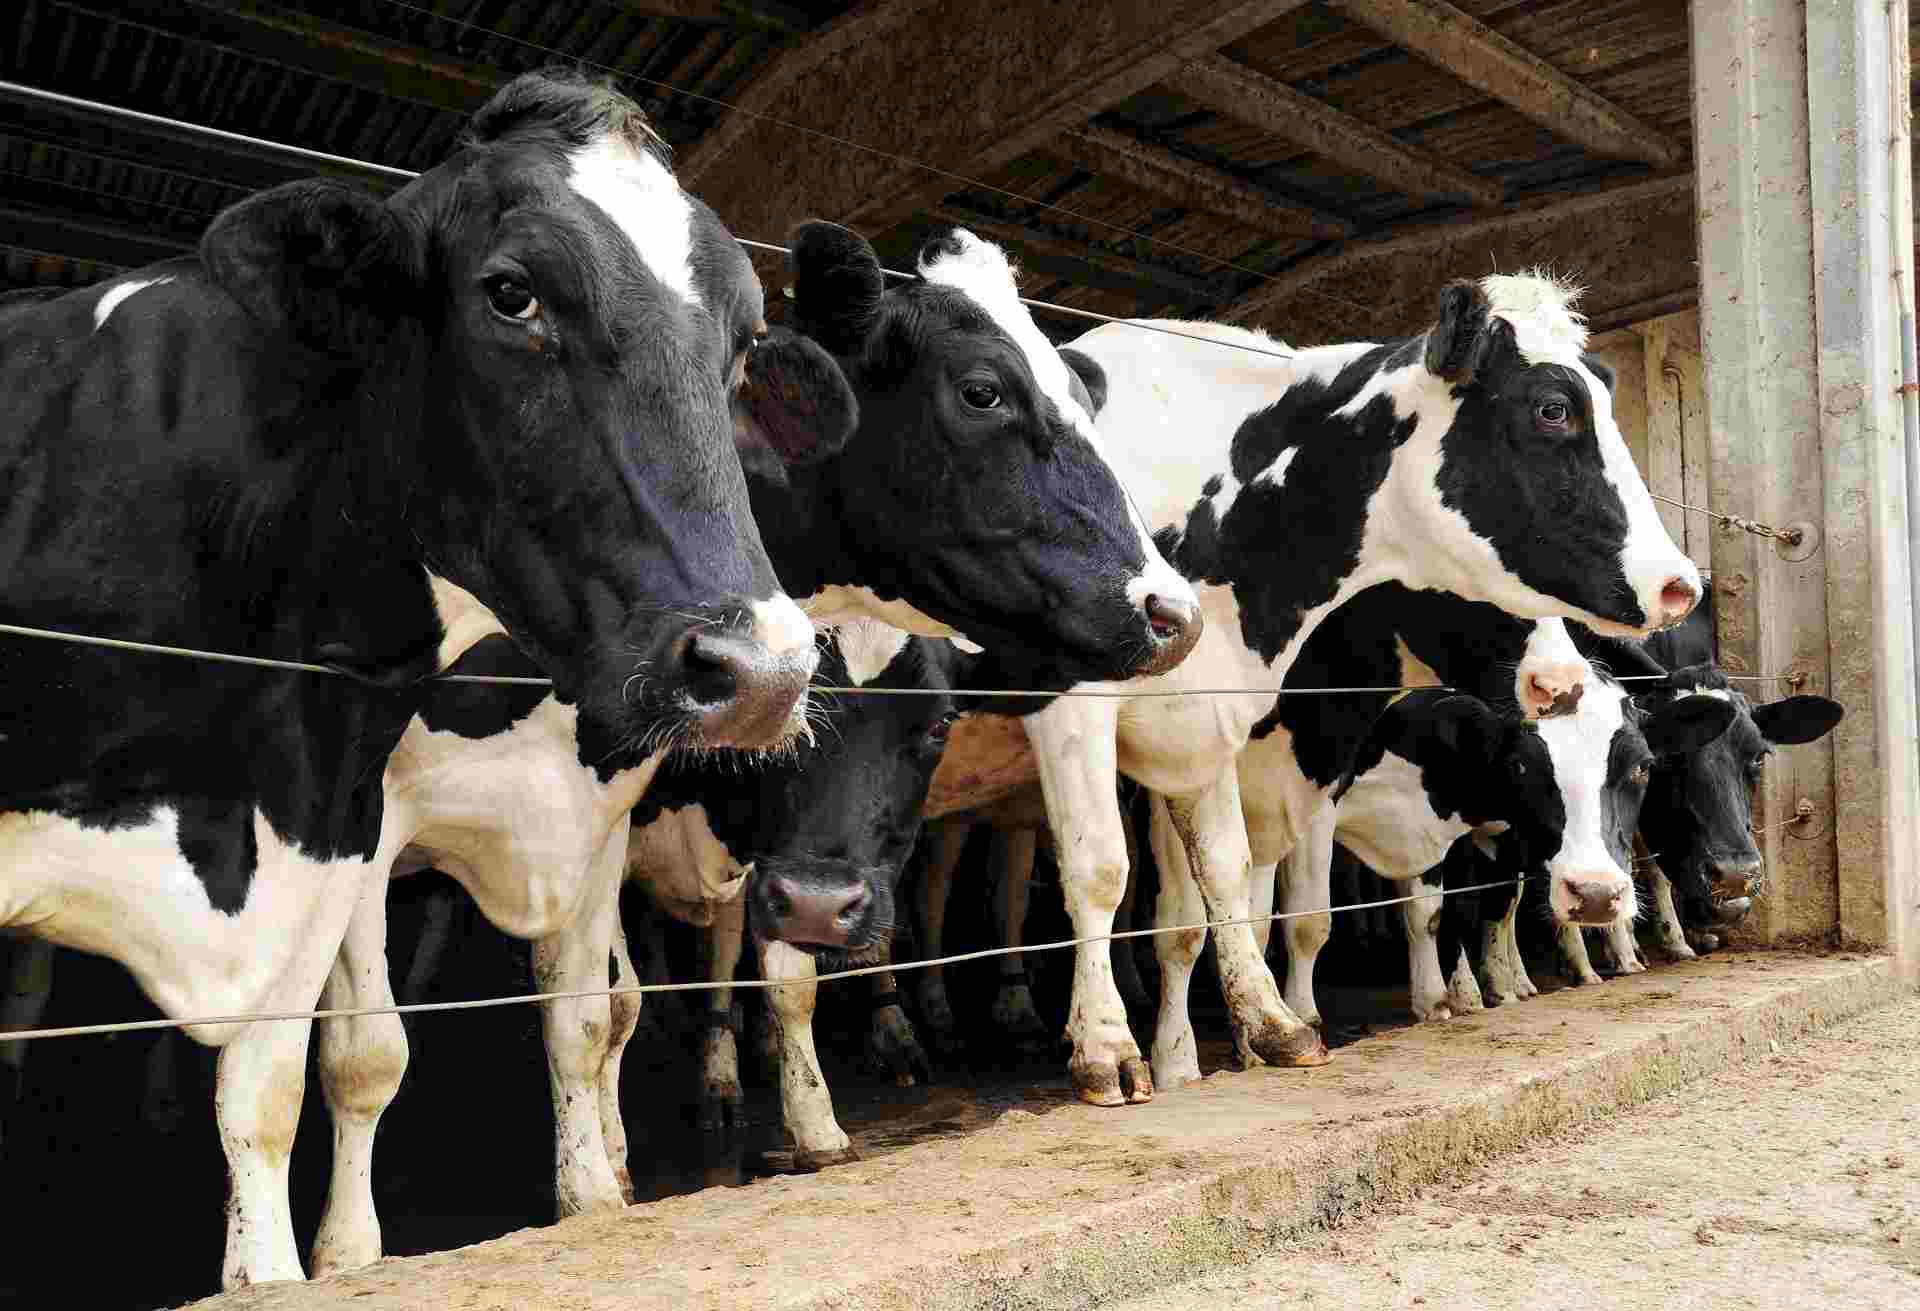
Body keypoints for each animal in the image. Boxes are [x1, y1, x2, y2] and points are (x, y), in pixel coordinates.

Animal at [0, 69, 869, 1288]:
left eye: (744, 342)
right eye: (511, 294)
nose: (759, 669)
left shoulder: (328, 824)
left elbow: (275, 1094)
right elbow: (361, 1057)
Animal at [925, 275, 1703, 1106]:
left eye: (1638, 767)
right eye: (1553, 408)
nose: (1680, 585)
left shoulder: (1226, 731)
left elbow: (1246, 889)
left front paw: (1270, 1025)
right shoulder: (1082, 706)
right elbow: (1115, 878)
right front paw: (1130, 1053)